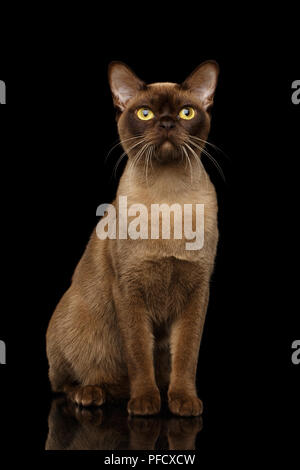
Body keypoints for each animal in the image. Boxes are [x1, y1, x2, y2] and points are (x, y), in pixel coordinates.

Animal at [47, 60, 220, 416]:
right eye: (145, 113)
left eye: (186, 113)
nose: (166, 122)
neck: (169, 202)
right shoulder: (129, 289)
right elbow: (139, 353)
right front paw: (144, 403)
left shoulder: (197, 289)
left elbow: (186, 356)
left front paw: (183, 401)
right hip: (74, 320)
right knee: (64, 383)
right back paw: (94, 393)